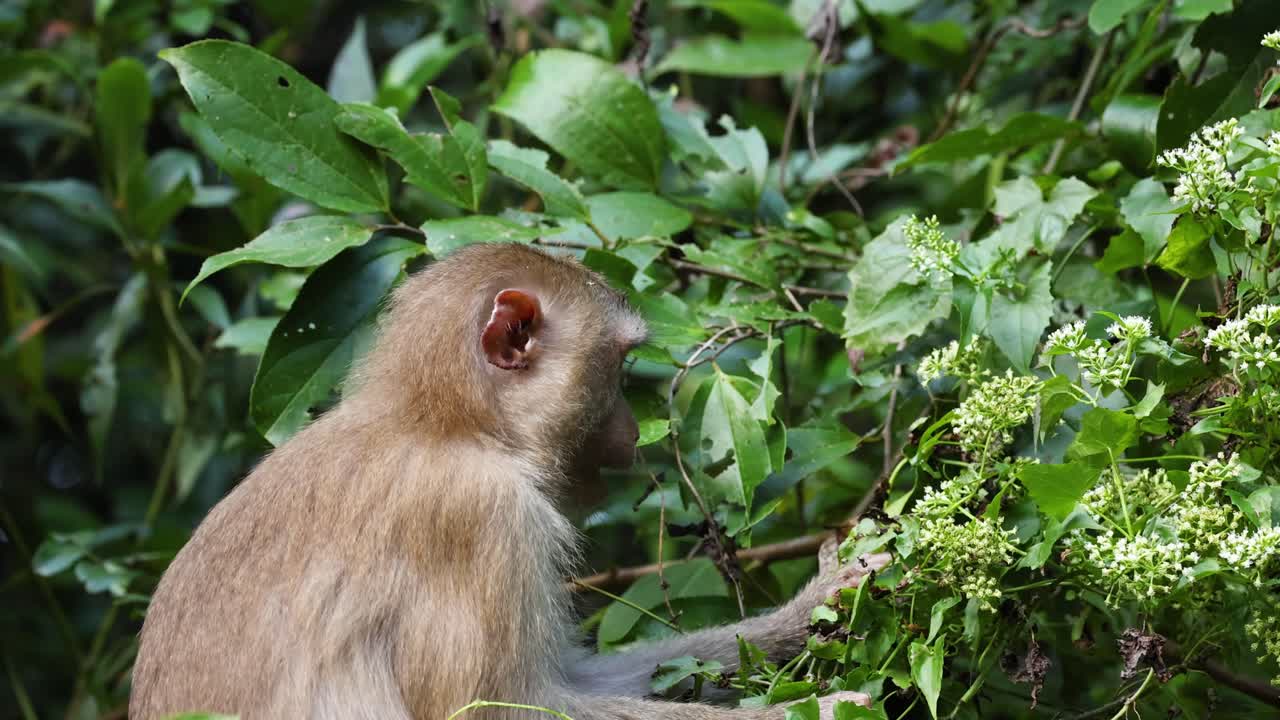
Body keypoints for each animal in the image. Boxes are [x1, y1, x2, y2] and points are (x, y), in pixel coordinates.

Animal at [130, 243, 887, 720]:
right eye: (618, 368)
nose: (629, 430)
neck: (446, 424)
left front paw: (813, 607)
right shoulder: (480, 518)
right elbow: (499, 710)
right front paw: (823, 711)